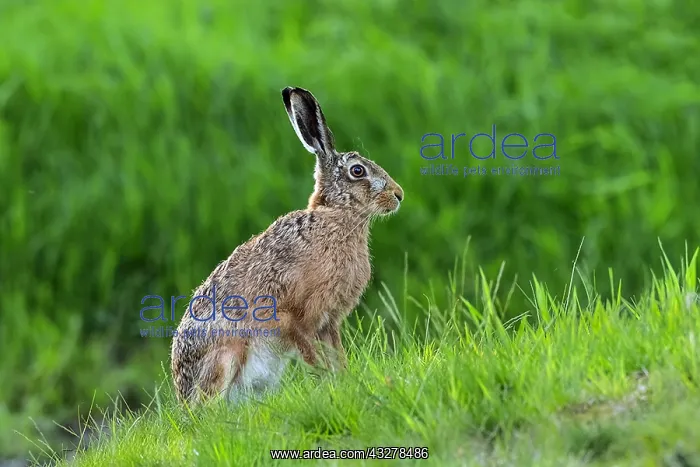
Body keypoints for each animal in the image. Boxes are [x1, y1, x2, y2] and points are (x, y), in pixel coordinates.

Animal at [170, 86, 404, 405]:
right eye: (358, 171)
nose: (399, 194)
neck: (336, 216)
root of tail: (182, 395)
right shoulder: (293, 316)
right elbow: (312, 357)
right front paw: (328, 385)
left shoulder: (328, 323)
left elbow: (337, 357)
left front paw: (343, 383)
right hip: (225, 356)